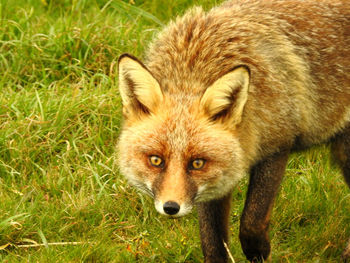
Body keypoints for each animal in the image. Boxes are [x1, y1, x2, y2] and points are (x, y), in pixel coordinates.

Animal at [117, 1, 350, 262]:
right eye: (156, 160)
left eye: (197, 163)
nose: (171, 207)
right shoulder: (216, 182)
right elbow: (213, 242)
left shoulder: (278, 145)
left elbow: (251, 221)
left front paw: (258, 251)